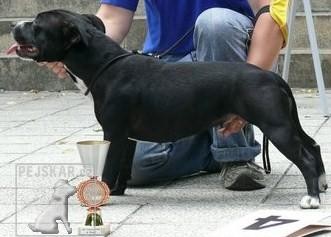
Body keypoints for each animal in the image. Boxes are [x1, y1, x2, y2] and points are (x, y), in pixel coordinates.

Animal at [9, 10, 328, 208]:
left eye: (36, 25)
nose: (12, 26)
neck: (103, 64)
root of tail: (273, 77)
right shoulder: (127, 137)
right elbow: (122, 167)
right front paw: (118, 192)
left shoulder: (113, 132)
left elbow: (109, 166)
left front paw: (102, 197)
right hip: (286, 122)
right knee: (313, 147)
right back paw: (322, 186)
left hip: (277, 126)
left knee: (305, 156)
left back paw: (311, 199)